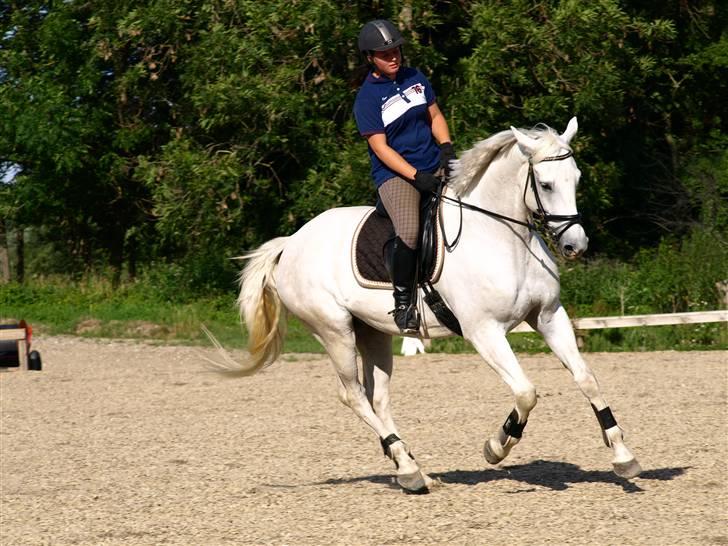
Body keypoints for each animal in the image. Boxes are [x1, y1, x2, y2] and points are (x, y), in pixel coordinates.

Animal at [206, 118, 644, 492]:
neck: (504, 237)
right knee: (353, 395)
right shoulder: (484, 332)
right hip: (334, 331)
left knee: (377, 397)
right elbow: (525, 392)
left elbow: (587, 379)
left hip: (373, 333)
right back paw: (408, 465)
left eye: (577, 179)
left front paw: (623, 456)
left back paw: (408, 468)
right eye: (547, 184)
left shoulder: (549, 317)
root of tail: (292, 242)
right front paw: (496, 446)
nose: (575, 246)